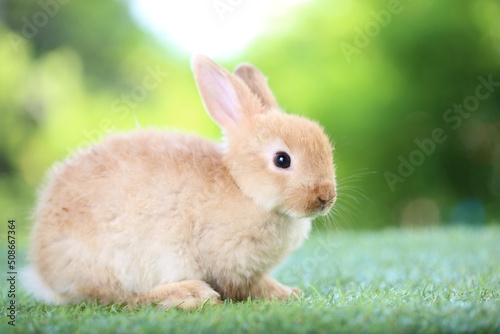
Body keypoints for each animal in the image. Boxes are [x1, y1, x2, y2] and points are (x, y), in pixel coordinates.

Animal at [24, 54, 336, 310]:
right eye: (282, 160)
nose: (326, 197)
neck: (243, 187)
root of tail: (46, 271)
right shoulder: (228, 264)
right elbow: (248, 287)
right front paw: (285, 293)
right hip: (122, 262)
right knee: (120, 298)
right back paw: (190, 295)